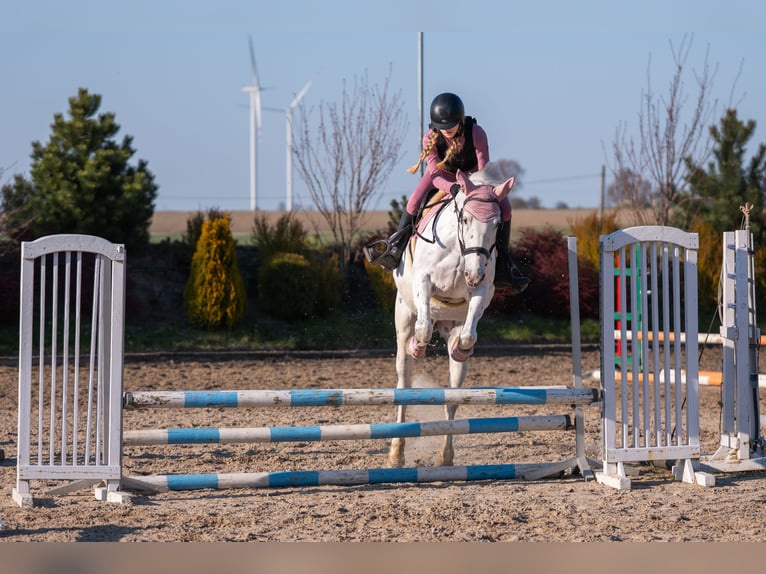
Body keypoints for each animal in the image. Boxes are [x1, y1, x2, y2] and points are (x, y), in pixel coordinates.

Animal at [388, 165, 515, 468]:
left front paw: (461, 349)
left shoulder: (481, 290)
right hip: (403, 317)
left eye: (497, 226)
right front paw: (418, 346)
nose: (474, 273)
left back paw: (445, 456)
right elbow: (423, 327)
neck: (459, 251)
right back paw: (396, 453)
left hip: (453, 335)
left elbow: (470, 333)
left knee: (453, 396)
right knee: (404, 384)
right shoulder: (424, 281)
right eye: (465, 219)